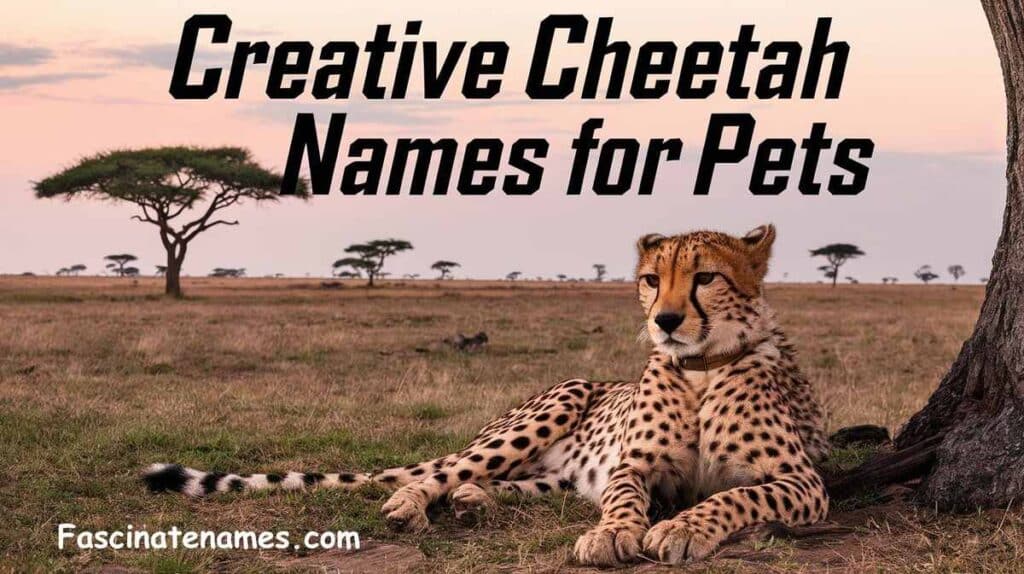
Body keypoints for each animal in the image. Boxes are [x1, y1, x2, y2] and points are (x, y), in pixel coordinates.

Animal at [143, 223, 830, 565]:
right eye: (650, 280)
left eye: (705, 278)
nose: (664, 320)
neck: (699, 368)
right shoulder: (633, 468)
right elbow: (623, 500)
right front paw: (612, 535)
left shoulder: (804, 482)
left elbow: (735, 496)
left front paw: (681, 528)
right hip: (552, 405)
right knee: (442, 472)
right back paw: (414, 504)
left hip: (556, 470)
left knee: (510, 483)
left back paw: (477, 502)